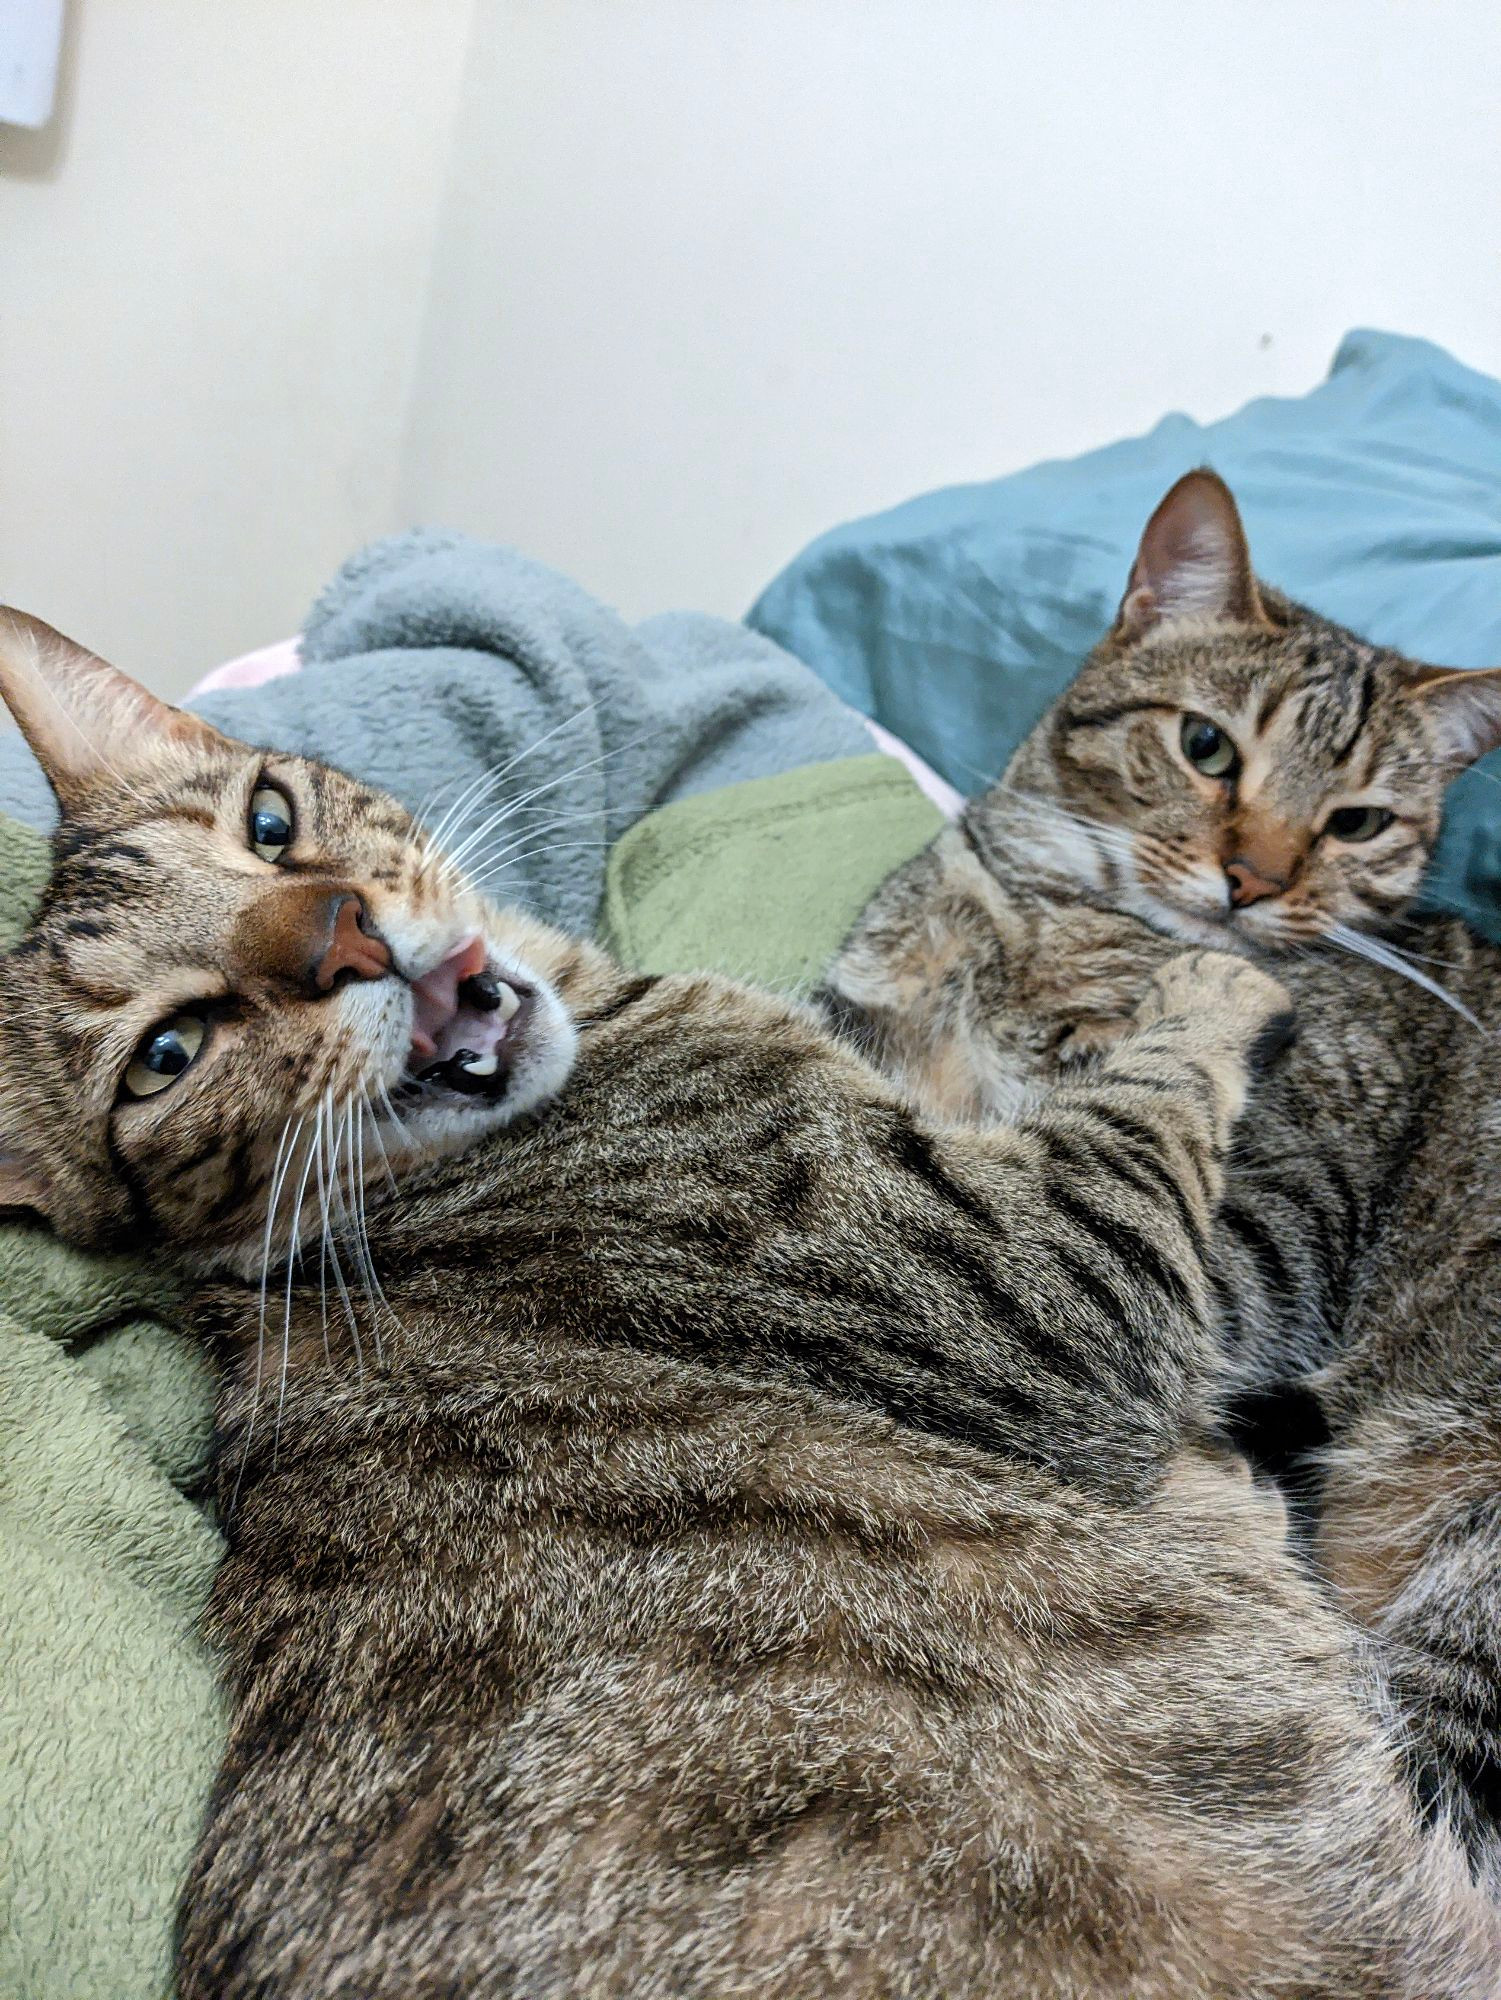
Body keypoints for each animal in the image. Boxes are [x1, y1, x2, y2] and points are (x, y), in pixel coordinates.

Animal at [0, 616, 1496, 1992]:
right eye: (168, 1052)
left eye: (269, 822)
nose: (342, 932)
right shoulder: (1049, 1276)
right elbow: (1155, 1076)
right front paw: (1209, 968)